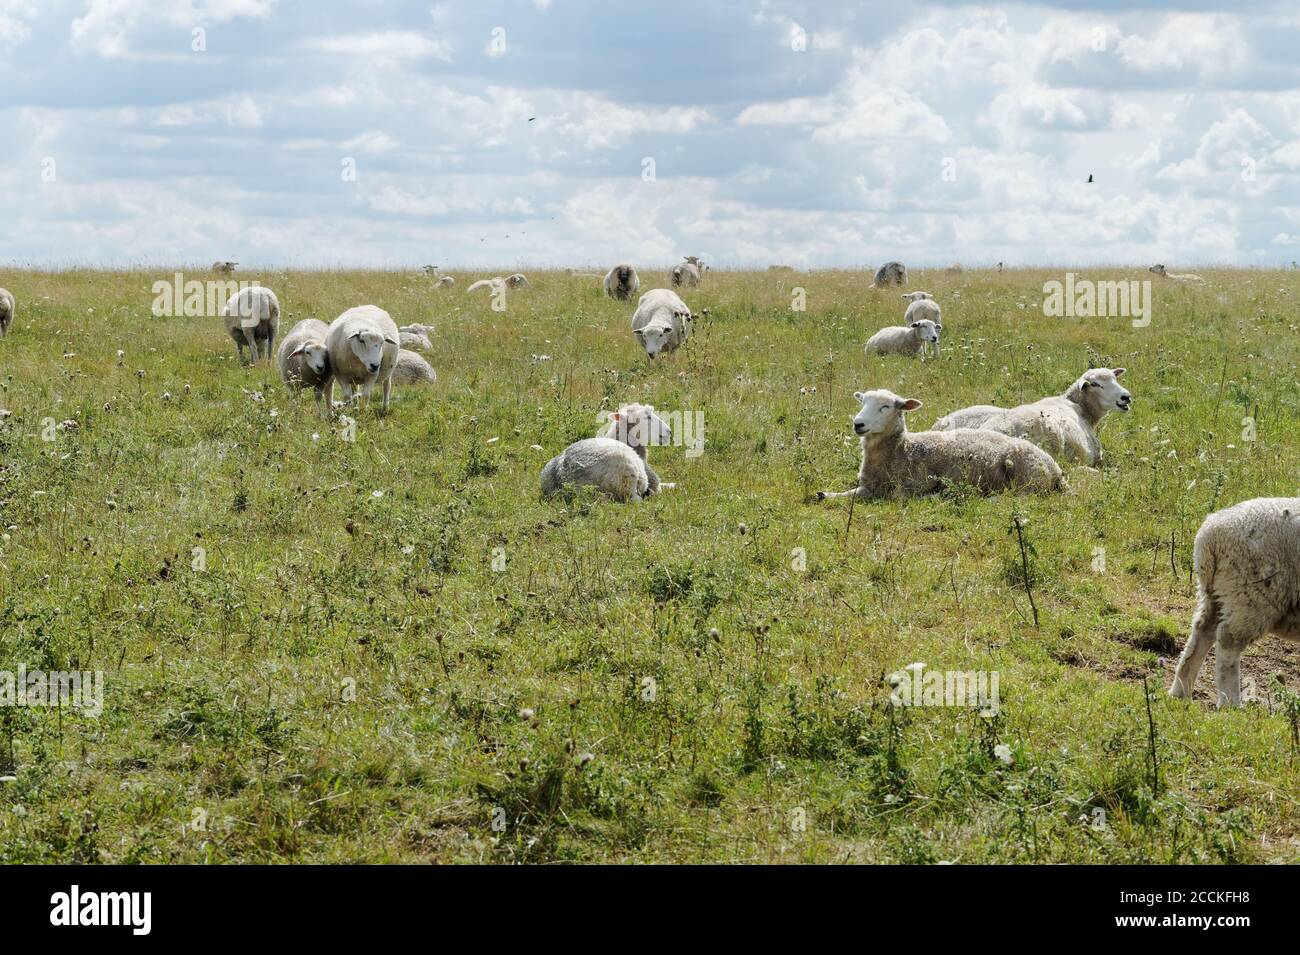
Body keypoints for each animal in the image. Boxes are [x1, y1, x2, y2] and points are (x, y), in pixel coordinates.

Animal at [817, 389, 1065, 501]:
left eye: (885, 407)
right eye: (863, 402)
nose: (858, 424)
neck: (901, 449)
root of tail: (1057, 470)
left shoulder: (915, 484)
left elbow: (899, 496)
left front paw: (935, 495)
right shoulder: (868, 486)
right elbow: (850, 493)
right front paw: (825, 494)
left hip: (1027, 476)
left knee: (1019, 496)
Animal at [1169, 497, 1300, 708]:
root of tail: (1210, 535)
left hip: (1217, 593)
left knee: (1201, 631)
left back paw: (1180, 691)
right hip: (1250, 595)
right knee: (1228, 642)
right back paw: (1230, 702)